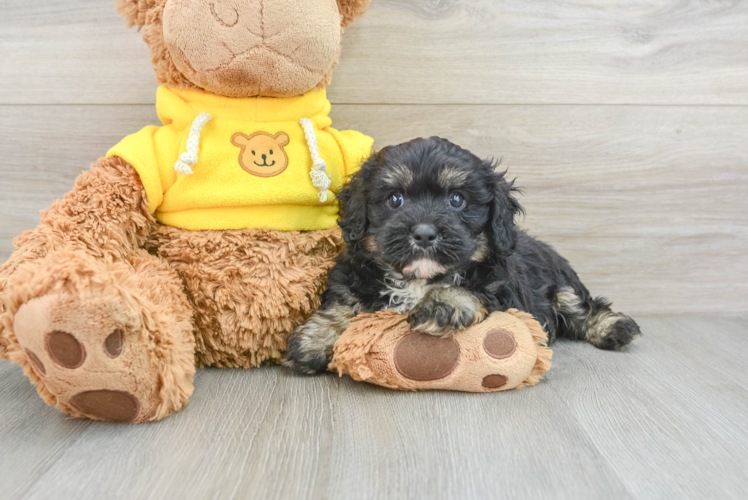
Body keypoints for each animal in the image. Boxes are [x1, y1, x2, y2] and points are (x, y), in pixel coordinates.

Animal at [284, 137, 640, 376]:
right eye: (395, 199)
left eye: (457, 200)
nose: (424, 233)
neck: (418, 280)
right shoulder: (352, 277)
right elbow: (344, 303)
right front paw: (314, 339)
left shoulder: (506, 292)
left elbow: (473, 289)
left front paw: (443, 303)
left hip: (562, 284)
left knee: (582, 307)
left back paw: (615, 327)